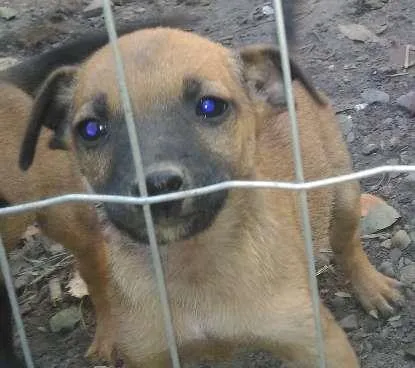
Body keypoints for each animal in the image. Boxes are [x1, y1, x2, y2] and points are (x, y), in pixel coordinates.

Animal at [18, 27, 404, 366]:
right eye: (91, 129)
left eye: (210, 107)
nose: (157, 186)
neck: (195, 265)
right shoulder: (150, 355)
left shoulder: (318, 343)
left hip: (343, 193)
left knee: (348, 243)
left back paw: (372, 287)